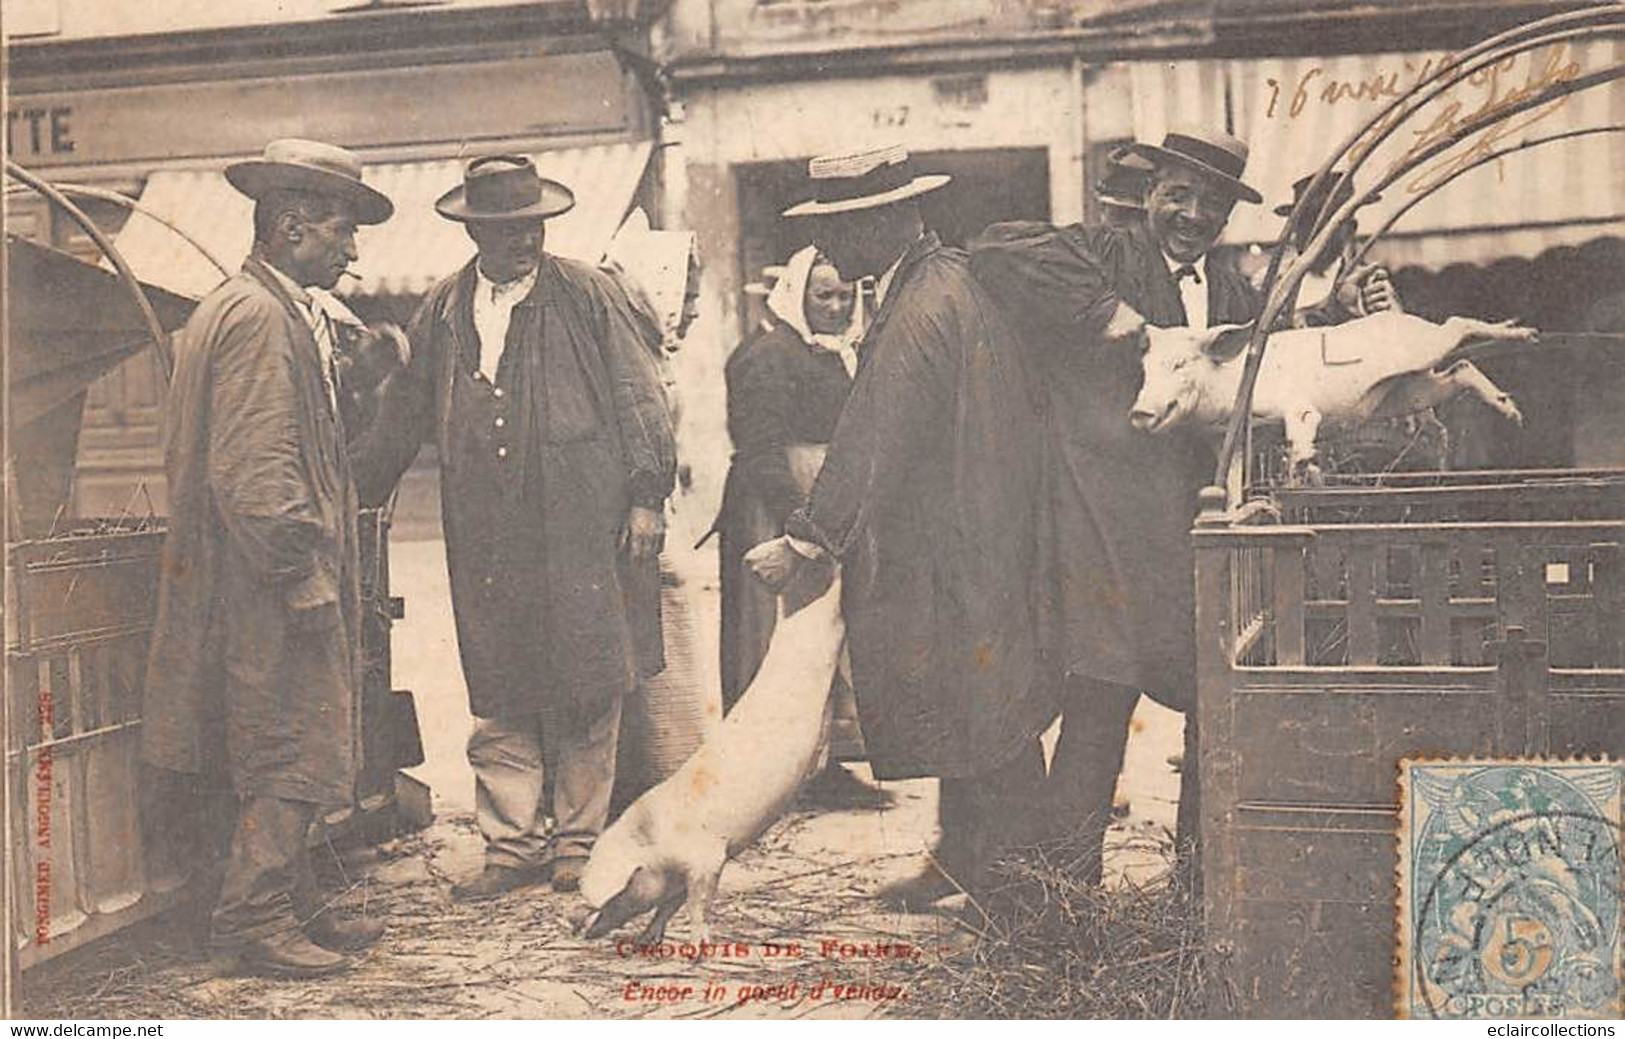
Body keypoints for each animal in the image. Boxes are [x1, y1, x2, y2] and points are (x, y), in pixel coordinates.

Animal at [1131, 312, 1534, 481]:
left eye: (1180, 364)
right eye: (1146, 368)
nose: (1139, 412)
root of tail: (1403, 316)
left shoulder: (1295, 405)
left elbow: (1304, 422)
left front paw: (1303, 462)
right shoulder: (1231, 444)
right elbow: (1231, 481)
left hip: (1425, 349)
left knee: (1457, 325)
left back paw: (1524, 334)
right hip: (1404, 392)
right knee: (1459, 369)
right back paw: (1510, 413)